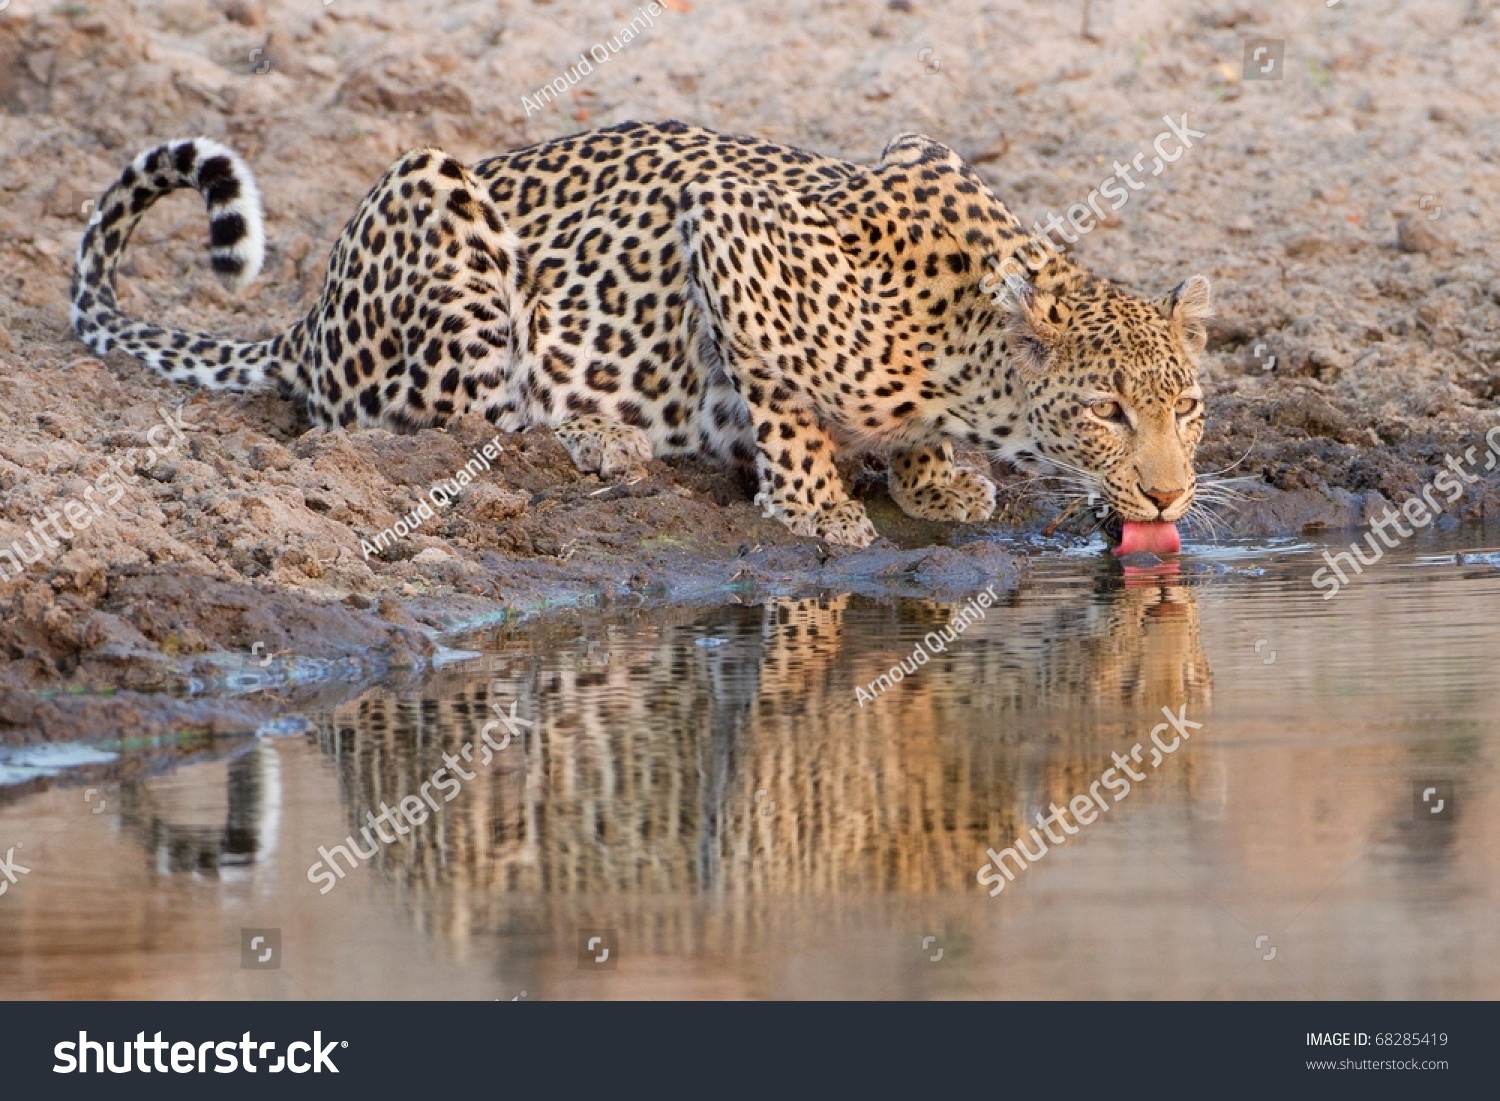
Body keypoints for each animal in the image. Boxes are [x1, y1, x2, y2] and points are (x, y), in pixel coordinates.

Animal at [70, 121, 1212, 552]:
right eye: (1109, 412)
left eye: (1189, 407)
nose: (1169, 498)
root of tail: (306, 320)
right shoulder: (723, 222)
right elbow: (780, 400)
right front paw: (815, 503)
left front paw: (933, 480)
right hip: (437, 201)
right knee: (465, 419)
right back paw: (601, 439)